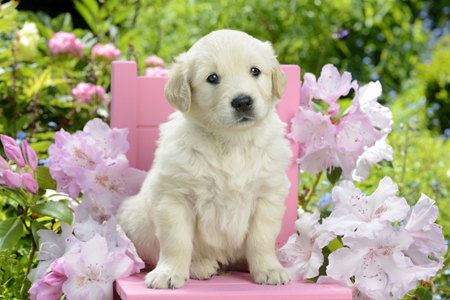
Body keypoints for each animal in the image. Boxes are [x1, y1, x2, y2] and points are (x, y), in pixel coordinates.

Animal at [116, 29, 292, 288]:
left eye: (255, 71)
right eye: (212, 78)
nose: (242, 102)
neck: (232, 142)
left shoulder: (268, 195)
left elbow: (261, 238)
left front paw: (269, 268)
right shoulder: (174, 197)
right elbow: (176, 241)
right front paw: (168, 273)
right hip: (132, 219)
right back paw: (201, 266)